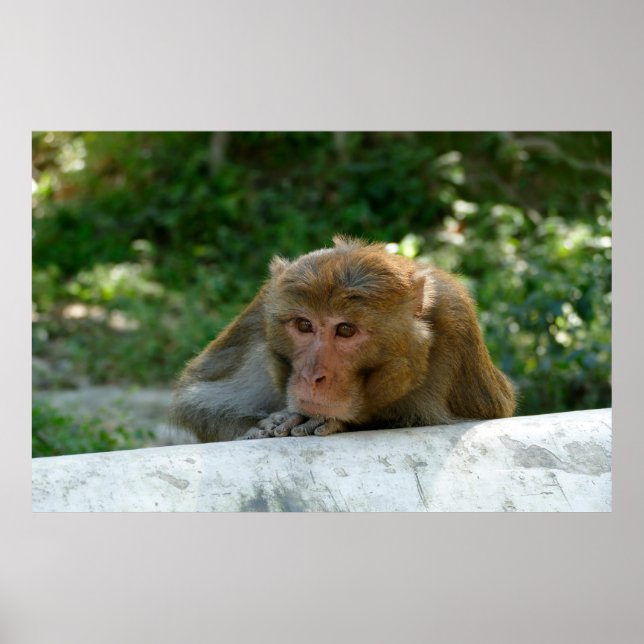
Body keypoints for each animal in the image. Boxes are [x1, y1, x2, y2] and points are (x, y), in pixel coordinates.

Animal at [169, 236, 516, 442]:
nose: (312, 376)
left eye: (346, 330)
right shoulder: (260, 315)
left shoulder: (455, 320)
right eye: (304, 325)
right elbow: (197, 401)